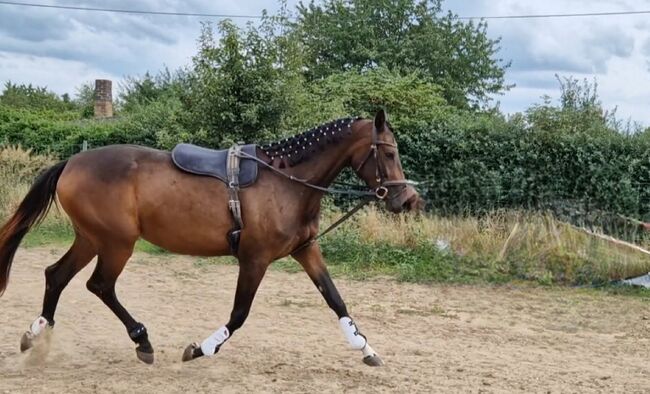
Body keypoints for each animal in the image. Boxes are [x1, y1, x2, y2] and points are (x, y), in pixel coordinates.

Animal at [0, 110, 416, 366]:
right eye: (389, 153)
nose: (408, 199)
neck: (287, 181)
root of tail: (71, 162)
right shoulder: (254, 259)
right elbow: (239, 314)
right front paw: (201, 348)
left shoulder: (305, 250)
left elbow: (336, 299)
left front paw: (365, 347)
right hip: (116, 243)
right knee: (100, 285)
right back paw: (142, 340)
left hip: (91, 239)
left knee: (56, 275)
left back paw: (34, 335)